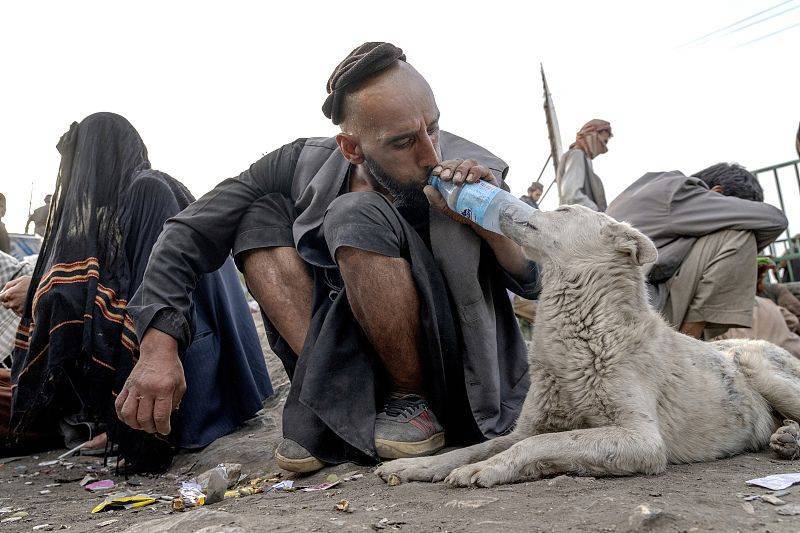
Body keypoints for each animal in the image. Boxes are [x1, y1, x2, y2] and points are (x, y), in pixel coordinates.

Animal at [376, 204, 800, 486]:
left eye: (563, 209)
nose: (507, 204)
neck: (586, 333)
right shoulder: (524, 427)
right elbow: (472, 448)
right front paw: (415, 467)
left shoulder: (641, 439)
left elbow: (548, 441)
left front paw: (487, 469)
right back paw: (787, 437)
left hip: (756, 365)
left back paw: (791, 440)